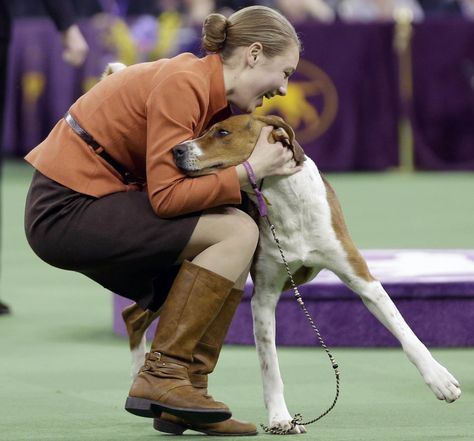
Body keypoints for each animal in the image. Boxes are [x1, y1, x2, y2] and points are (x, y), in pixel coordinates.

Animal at [103, 64, 460, 434]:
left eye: (221, 132)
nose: (176, 150)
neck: (286, 202)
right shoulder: (263, 297)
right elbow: (270, 366)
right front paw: (280, 418)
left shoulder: (361, 277)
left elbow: (405, 332)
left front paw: (440, 379)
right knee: (135, 316)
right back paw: (143, 380)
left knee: (136, 316)